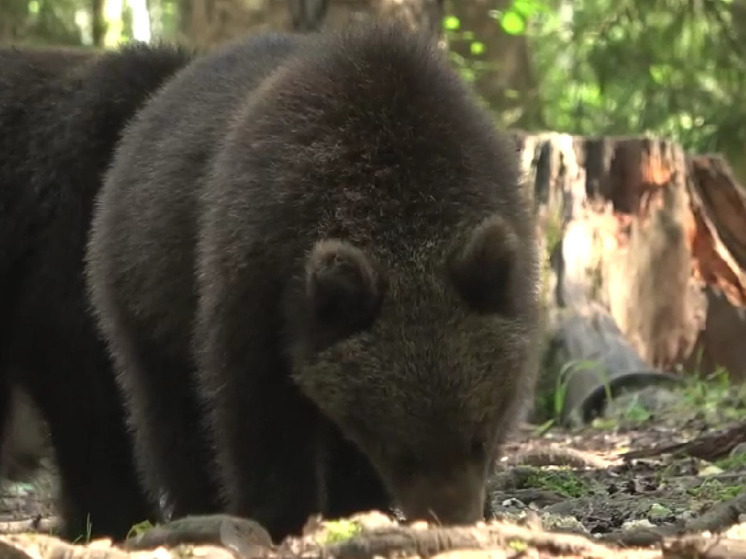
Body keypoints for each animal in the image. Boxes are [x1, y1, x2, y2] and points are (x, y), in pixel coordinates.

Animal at [85, 19, 540, 544]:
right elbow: (257, 412)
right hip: (145, 289)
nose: (453, 518)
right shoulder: (254, 273)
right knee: (167, 411)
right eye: (400, 451)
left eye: (478, 437)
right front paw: (279, 517)